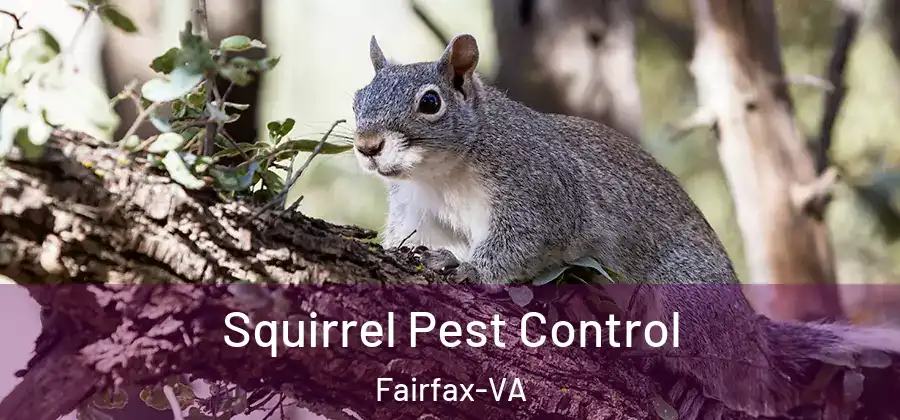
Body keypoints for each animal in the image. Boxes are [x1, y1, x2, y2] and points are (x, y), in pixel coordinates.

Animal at [352, 33, 736, 285]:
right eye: (357, 99)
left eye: (430, 102)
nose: (368, 146)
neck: (439, 175)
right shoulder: (418, 211)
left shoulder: (539, 189)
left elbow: (525, 240)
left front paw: (469, 269)